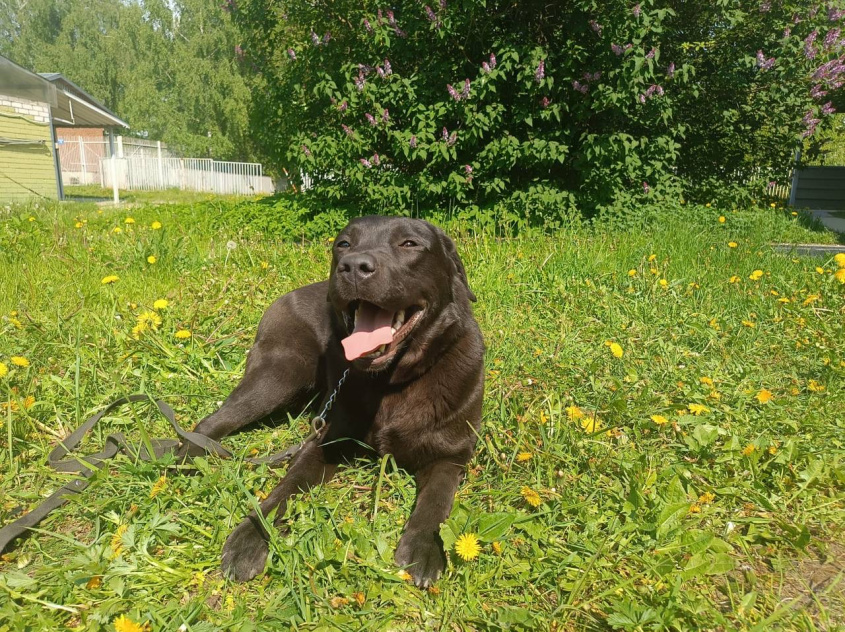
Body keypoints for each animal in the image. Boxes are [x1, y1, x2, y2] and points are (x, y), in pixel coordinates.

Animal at [188, 217, 484, 588]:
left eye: (409, 243)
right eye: (343, 244)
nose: (353, 266)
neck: (391, 383)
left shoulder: (450, 453)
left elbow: (436, 500)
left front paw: (424, 547)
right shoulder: (326, 440)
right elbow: (287, 486)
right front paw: (252, 535)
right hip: (281, 374)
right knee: (213, 422)